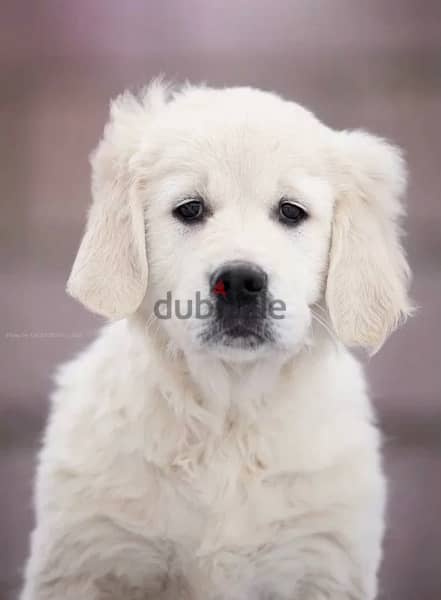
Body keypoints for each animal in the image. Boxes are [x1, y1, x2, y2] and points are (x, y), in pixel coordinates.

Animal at [20, 83, 410, 600]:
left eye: (291, 212)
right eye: (190, 208)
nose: (240, 282)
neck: (229, 412)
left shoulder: (322, 558)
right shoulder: (94, 554)